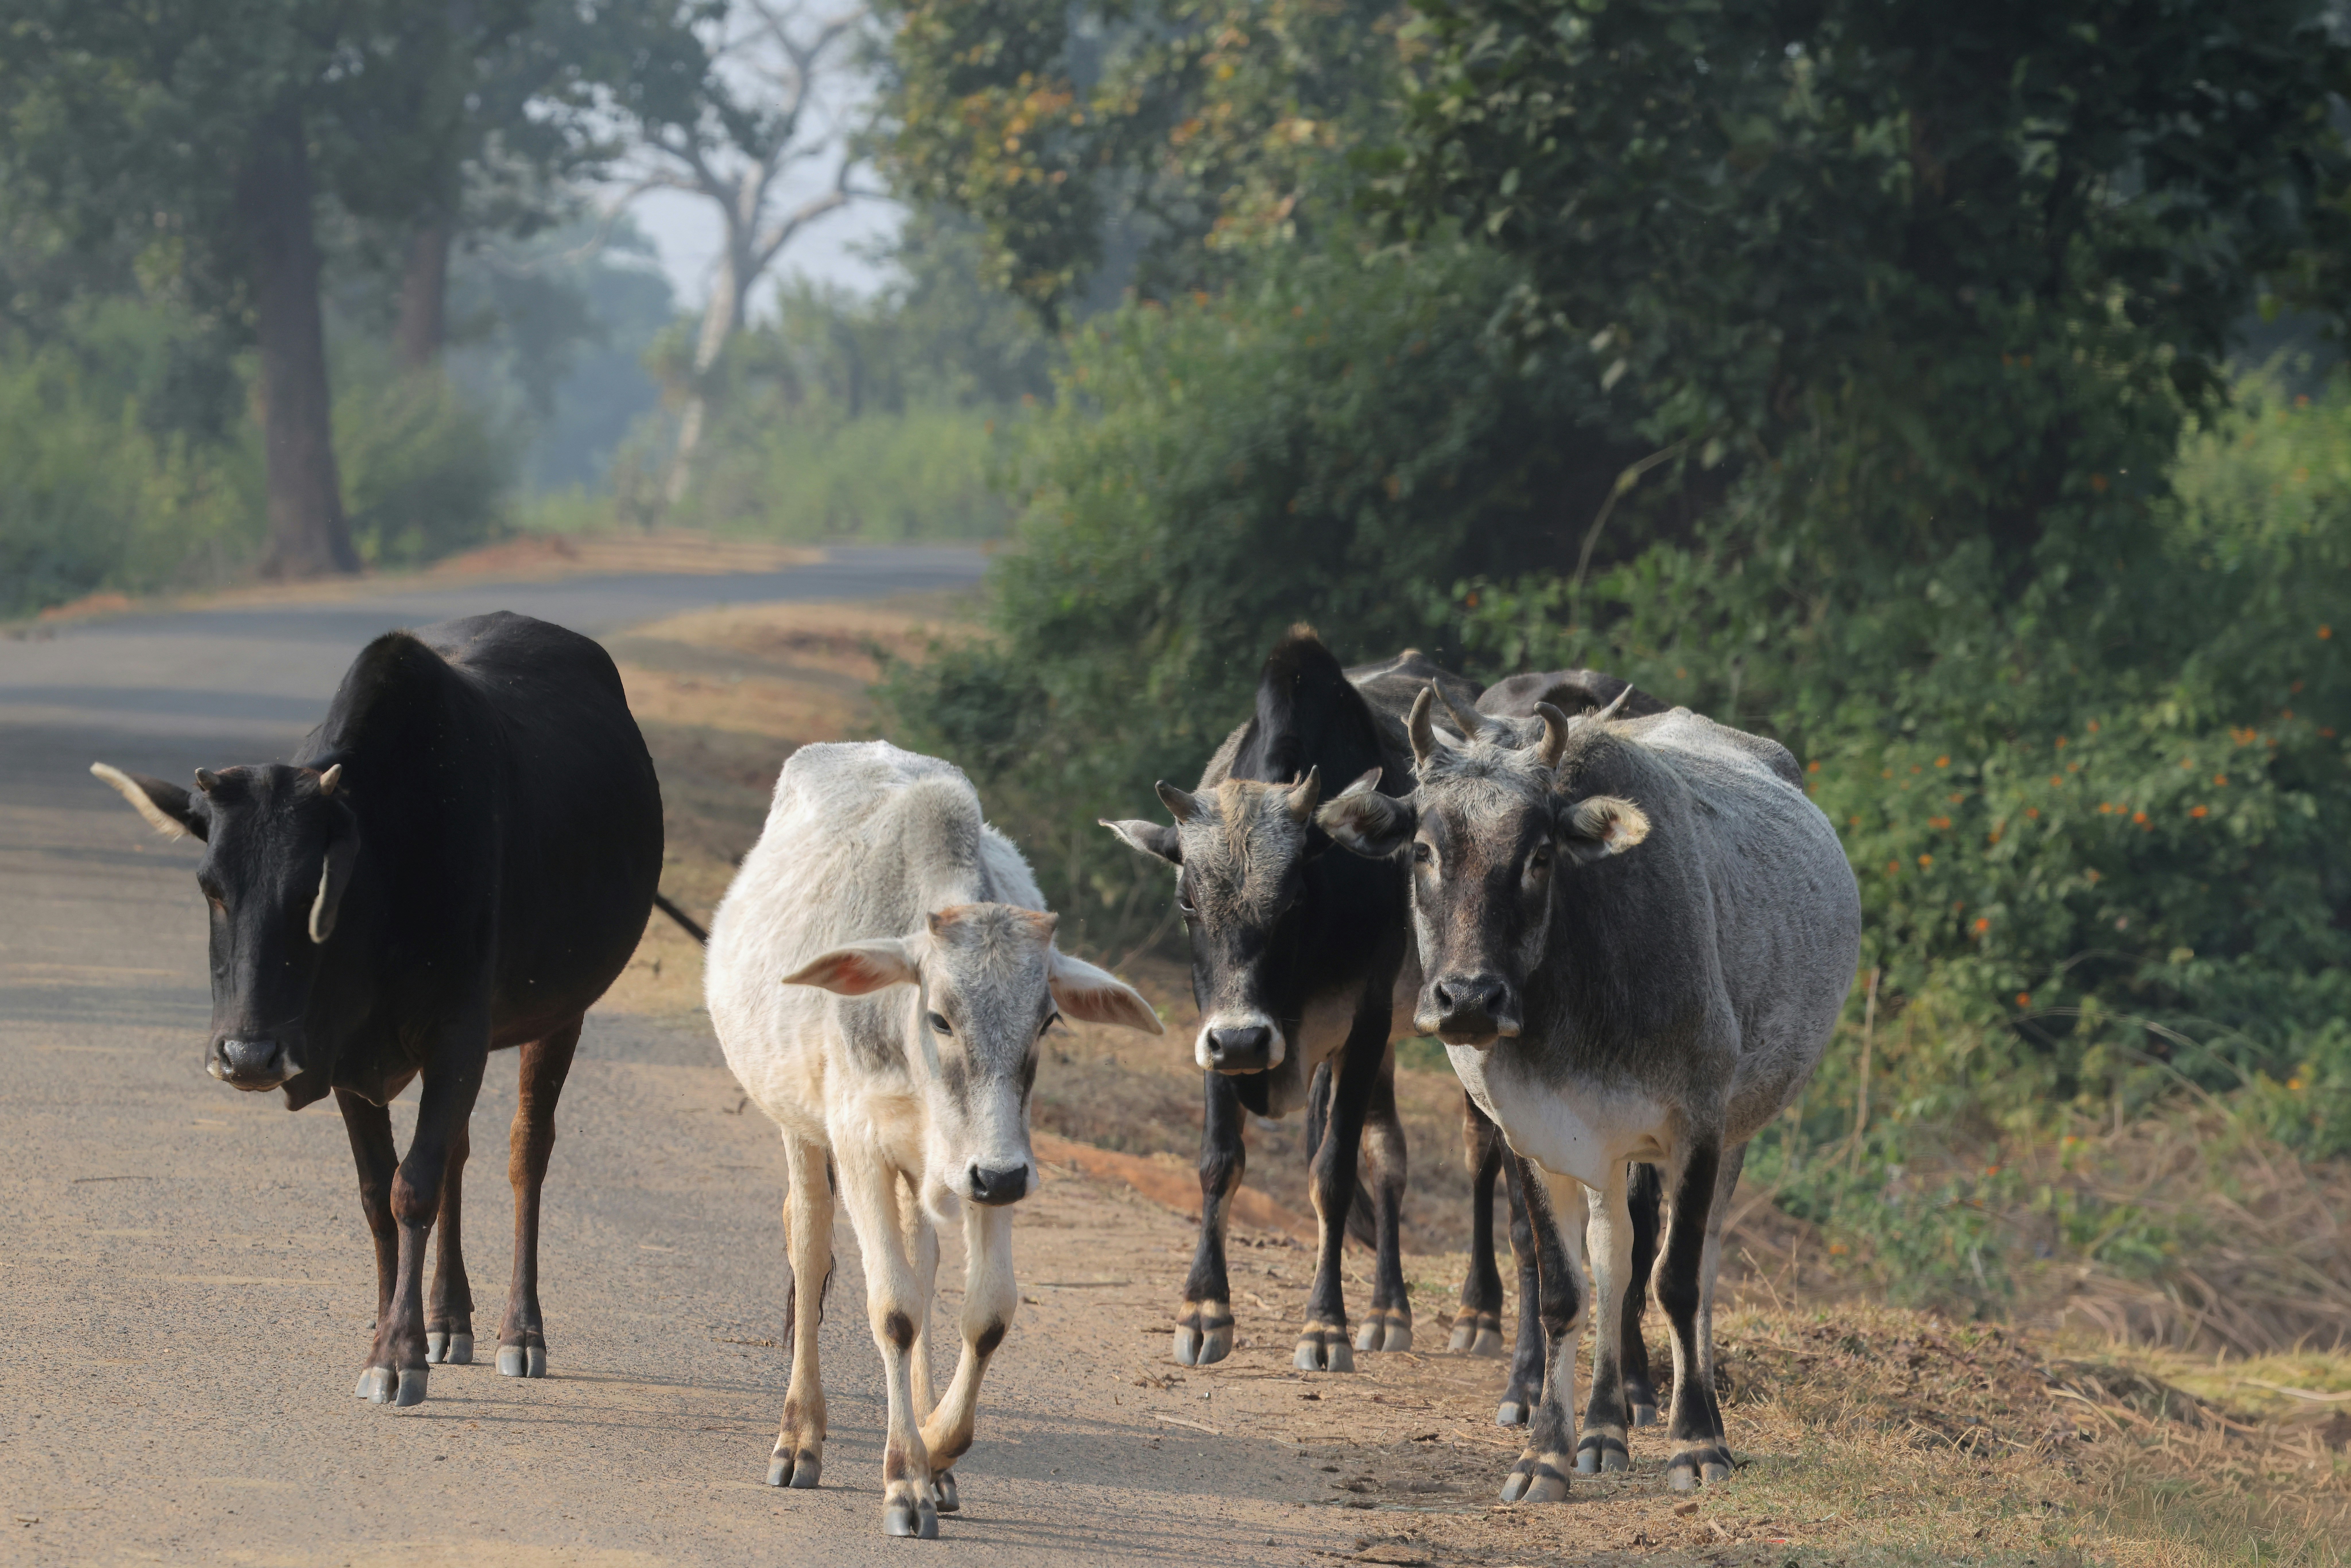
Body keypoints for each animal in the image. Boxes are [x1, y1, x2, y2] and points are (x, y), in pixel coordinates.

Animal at [90, 611, 665, 1407]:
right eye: (211, 886)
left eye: (313, 886)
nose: (246, 1055)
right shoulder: (345, 1055)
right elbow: (376, 1194)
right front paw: (397, 1332)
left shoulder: (457, 1032)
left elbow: (412, 1188)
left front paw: (399, 1354)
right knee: (457, 1152)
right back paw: (449, 1318)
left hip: (558, 1014)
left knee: (526, 1152)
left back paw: (520, 1330)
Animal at [704, 740, 1162, 1539]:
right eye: (941, 1016)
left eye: (1047, 1020)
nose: (998, 1178)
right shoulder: (860, 1145)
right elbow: (893, 1309)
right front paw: (905, 1477)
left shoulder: (993, 1162)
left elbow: (987, 1311)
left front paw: (938, 1446)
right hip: (801, 1129)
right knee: (809, 1244)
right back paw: (800, 1434)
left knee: (923, 1260)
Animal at [1318, 687, 1860, 1498]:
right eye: (1422, 849)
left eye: (1540, 854)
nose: (1468, 998)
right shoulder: (1533, 1137)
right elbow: (1566, 1291)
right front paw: (1545, 1452)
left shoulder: (1696, 1127)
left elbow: (1676, 1281)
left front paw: (1695, 1443)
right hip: (1604, 1158)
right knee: (1613, 1259)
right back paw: (1604, 1427)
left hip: (1730, 1136)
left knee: (1695, 1265)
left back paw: (1692, 1416)